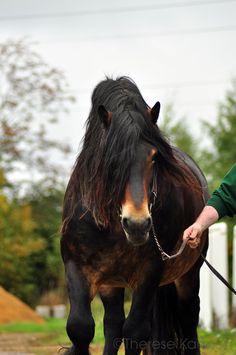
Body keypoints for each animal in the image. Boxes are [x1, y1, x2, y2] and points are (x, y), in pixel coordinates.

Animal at [60, 76, 208, 354]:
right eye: (111, 159)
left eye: (154, 157)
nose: (138, 224)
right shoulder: (77, 267)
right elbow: (80, 327)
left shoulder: (149, 272)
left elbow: (136, 332)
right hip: (112, 283)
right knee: (113, 325)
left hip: (187, 275)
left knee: (187, 320)